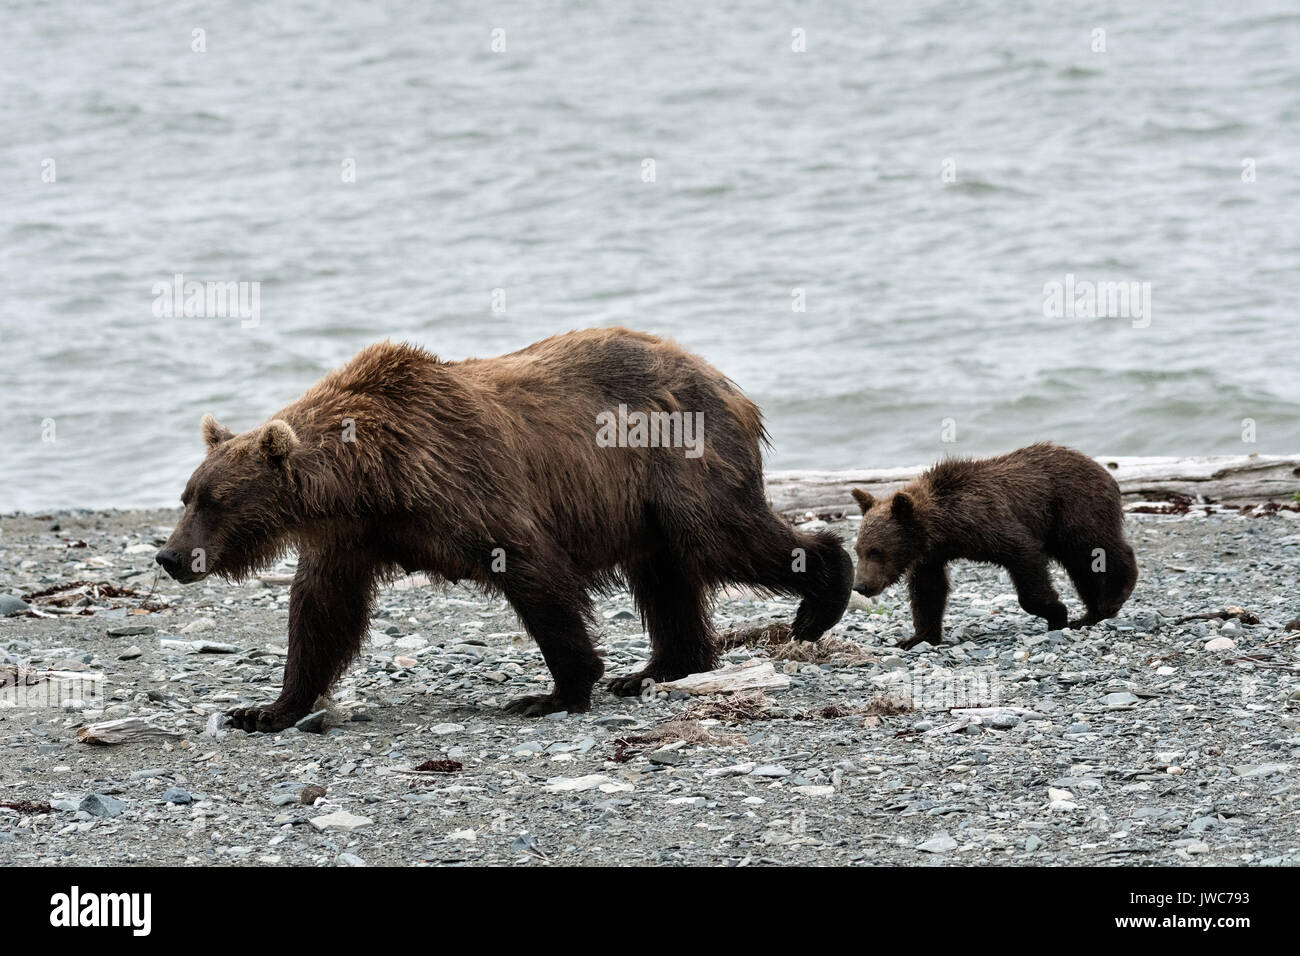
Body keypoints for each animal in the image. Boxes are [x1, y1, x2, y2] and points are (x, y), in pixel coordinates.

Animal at [156, 327, 853, 731]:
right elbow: (322, 612)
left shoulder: (462, 480)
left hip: (679, 457)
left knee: (724, 535)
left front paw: (555, 691)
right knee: (665, 574)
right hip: (643, 503)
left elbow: (531, 569)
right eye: (187, 496)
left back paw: (821, 595)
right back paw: (656, 670)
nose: (169, 555)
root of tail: (725, 381)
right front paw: (266, 708)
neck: (370, 478)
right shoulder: (350, 535)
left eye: (214, 500)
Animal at [849, 442, 1137, 648]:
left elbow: (1024, 555)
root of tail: (1102, 468)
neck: (944, 528)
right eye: (858, 550)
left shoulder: (989, 523)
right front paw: (916, 637)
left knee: (1095, 547)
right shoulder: (931, 556)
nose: (860, 585)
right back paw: (1090, 614)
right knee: (1081, 566)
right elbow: (928, 590)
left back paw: (1114, 597)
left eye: (876, 550)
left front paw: (1057, 612)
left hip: (1075, 507)